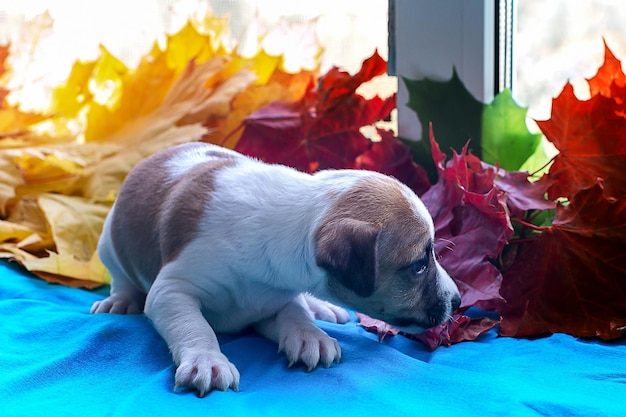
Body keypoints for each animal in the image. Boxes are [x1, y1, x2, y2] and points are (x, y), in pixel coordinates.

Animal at [92, 141, 460, 394]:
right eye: (418, 265)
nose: (457, 301)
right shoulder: (173, 290)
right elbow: (194, 325)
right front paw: (207, 360)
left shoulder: (274, 297)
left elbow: (294, 311)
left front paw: (309, 333)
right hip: (110, 244)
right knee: (121, 278)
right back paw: (120, 300)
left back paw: (321, 308)